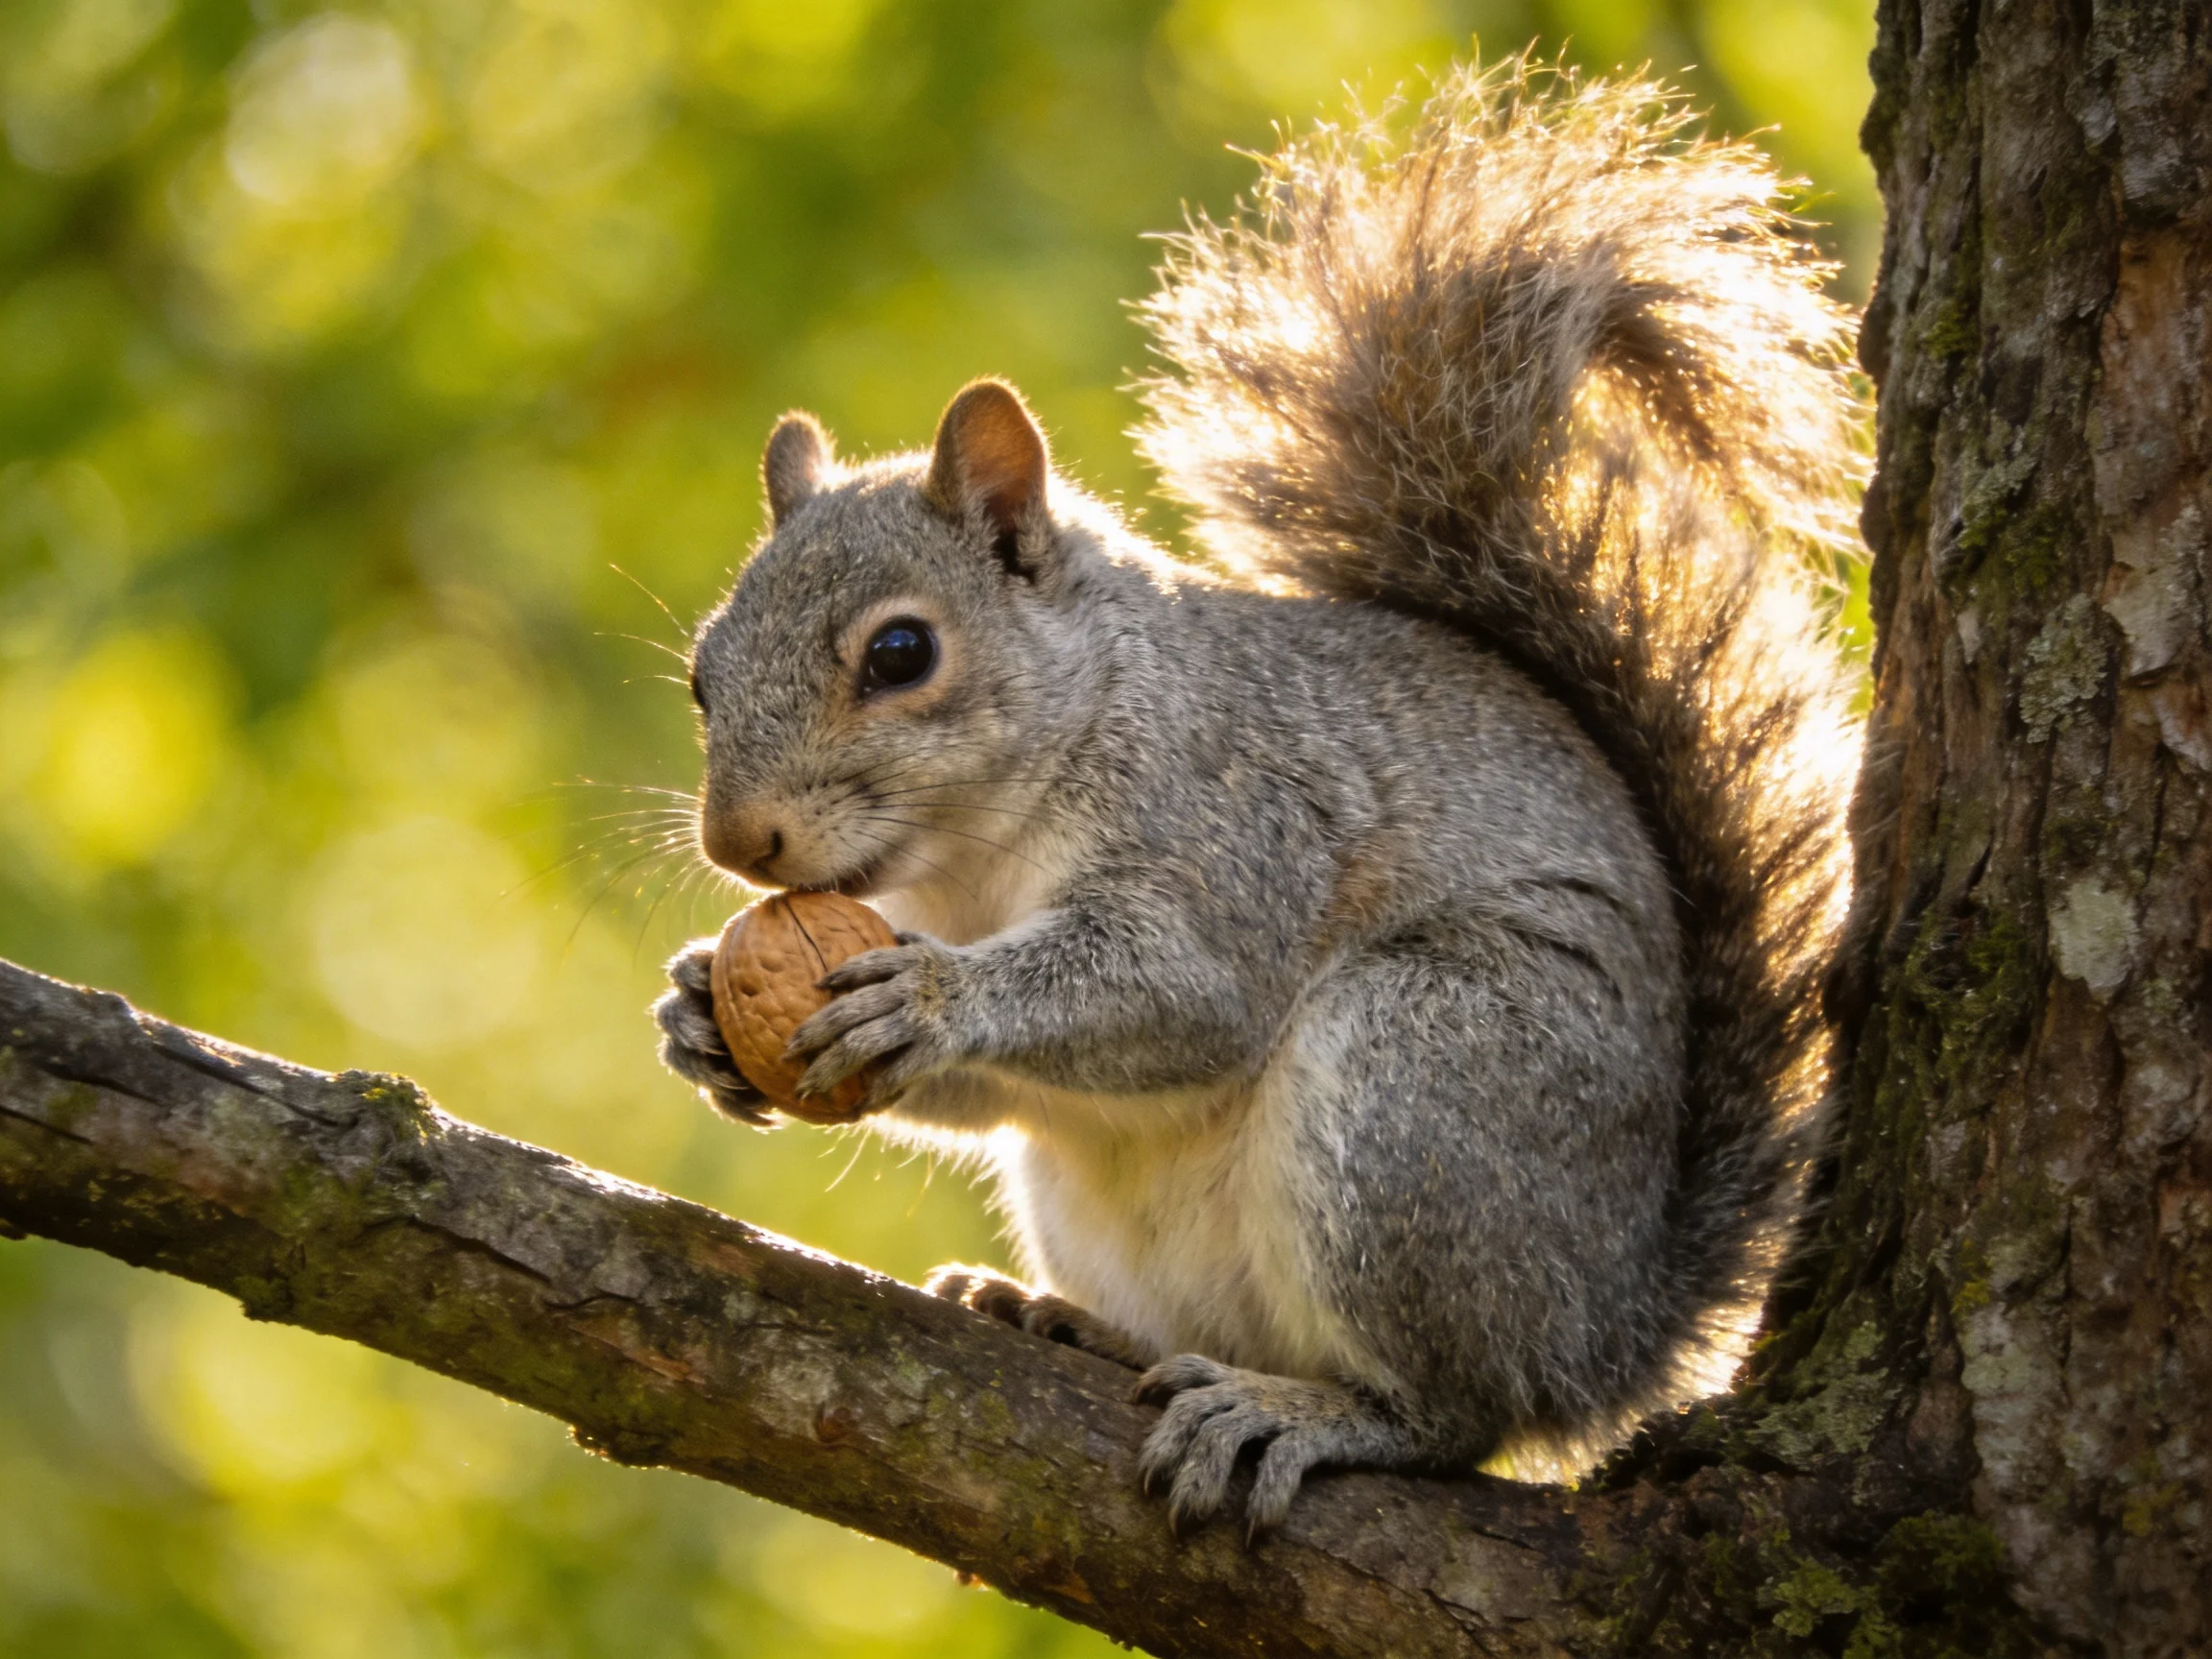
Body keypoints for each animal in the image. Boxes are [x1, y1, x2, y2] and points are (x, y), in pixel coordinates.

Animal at [653, 60, 1861, 1532]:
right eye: (703, 675)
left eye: (899, 654)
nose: (738, 841)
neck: (978, 853)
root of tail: (1611, 1327)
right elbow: (986, 1094)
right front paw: (699, 1012)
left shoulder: (1239, 819)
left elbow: (1188, 991)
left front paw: (929, 997)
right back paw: (1064, 1320)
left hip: (1426, 1077)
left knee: (1459, 1413)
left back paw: (1312, 1412)